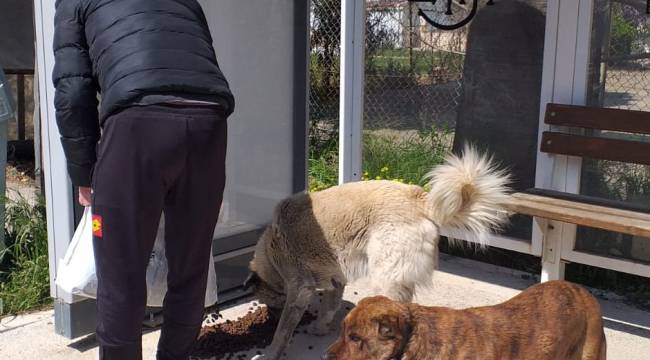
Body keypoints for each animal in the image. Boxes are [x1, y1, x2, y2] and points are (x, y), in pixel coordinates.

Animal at [246, 147, 508, 360]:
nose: (268, 316)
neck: (271, 250)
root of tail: (421, 199)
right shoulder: (335, 280)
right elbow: (329, 306)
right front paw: (320, 328)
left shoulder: (299, 290)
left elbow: (282, 332)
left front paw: (271, 353)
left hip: (386, 279)